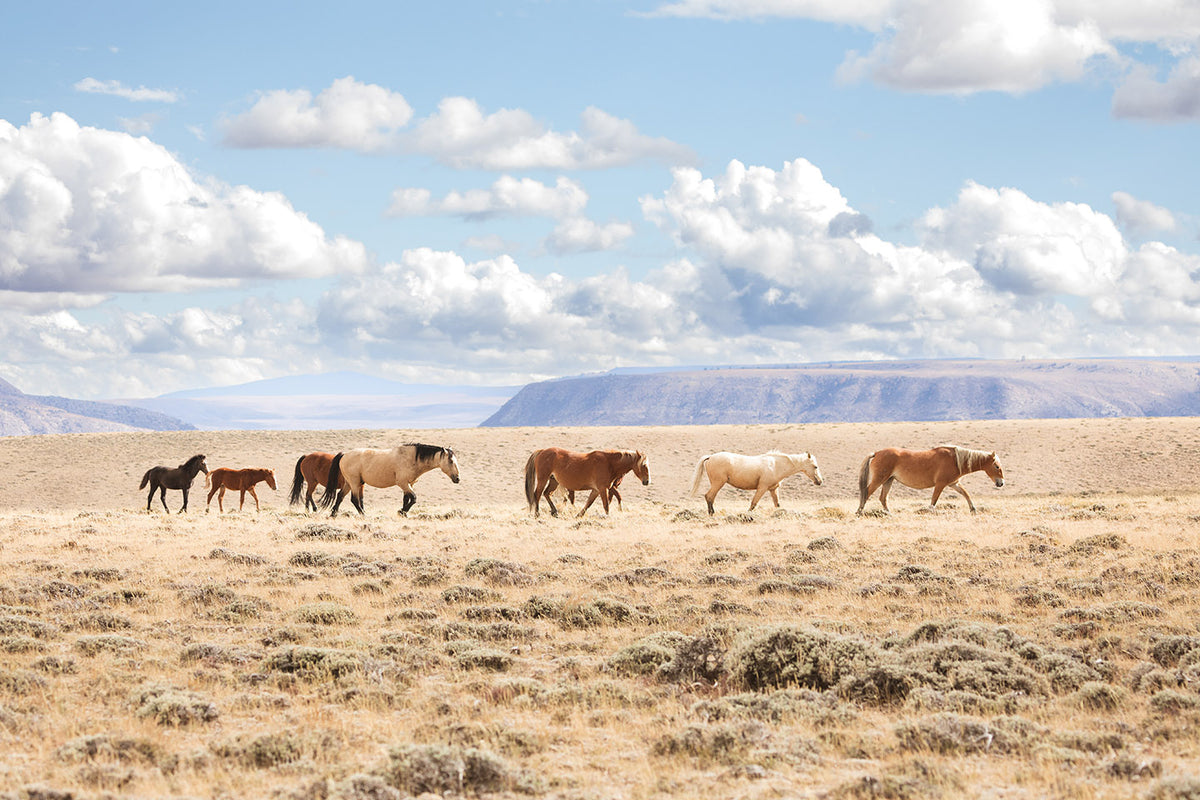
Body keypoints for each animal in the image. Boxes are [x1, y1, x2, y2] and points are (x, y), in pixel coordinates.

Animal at [319, 441, 458, 515]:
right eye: (451, 461)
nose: (457, 478)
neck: (412, 458)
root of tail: (344, 454)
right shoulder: (403, 483)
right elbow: (413, 498)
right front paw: (401, 512)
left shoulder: (409, 484)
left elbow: (406, 499)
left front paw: (403, 513)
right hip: (354, 482)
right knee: (354, 499)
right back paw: (363, 515)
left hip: (349, 483)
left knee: (340, 496)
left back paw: (333, 515)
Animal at [691, 453, 820, 515]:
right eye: (815, 466)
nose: (820, 481)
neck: (775, 465)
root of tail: (710, 457)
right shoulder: (762, 488)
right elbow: (753, 504)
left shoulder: (773, 489)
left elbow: (777, 505)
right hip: (718, 483)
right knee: (709, 496)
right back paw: (712, 513)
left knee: (710, 497)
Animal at [854, 443, 1003, 513]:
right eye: (996, 466)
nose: (1001, 483)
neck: (955, 459)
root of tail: (876, 453)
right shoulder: (940, 484)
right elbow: (934, 500)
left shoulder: (954, 483)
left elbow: (966, 494)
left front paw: (973, 510)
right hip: (880, 479)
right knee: (866, 493)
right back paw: (859, 512)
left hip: (888, 480)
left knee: (883, 498)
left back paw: (888, 514)